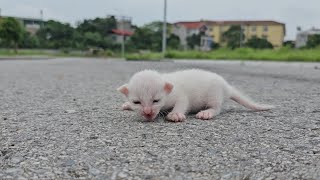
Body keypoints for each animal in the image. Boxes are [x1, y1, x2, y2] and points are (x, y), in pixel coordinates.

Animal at [117, 69, 272, 122]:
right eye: (136, 102)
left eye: (156, 100)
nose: (148, 113)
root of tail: (227, 87)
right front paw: (127, 105)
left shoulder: (179, 94)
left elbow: (182, 102)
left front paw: (175, 114)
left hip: (214, 94)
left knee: (216, 108)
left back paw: (207, 112)